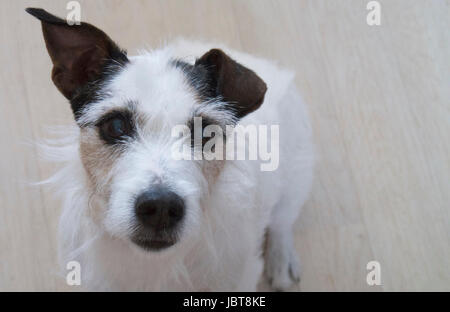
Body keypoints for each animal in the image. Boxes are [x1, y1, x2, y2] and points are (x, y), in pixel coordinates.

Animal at [27, 7, 312, 292]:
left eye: (206, 133)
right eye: (116, 125)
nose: (161, 207)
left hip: (294, 178)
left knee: (282, 220)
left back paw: (281, 259)